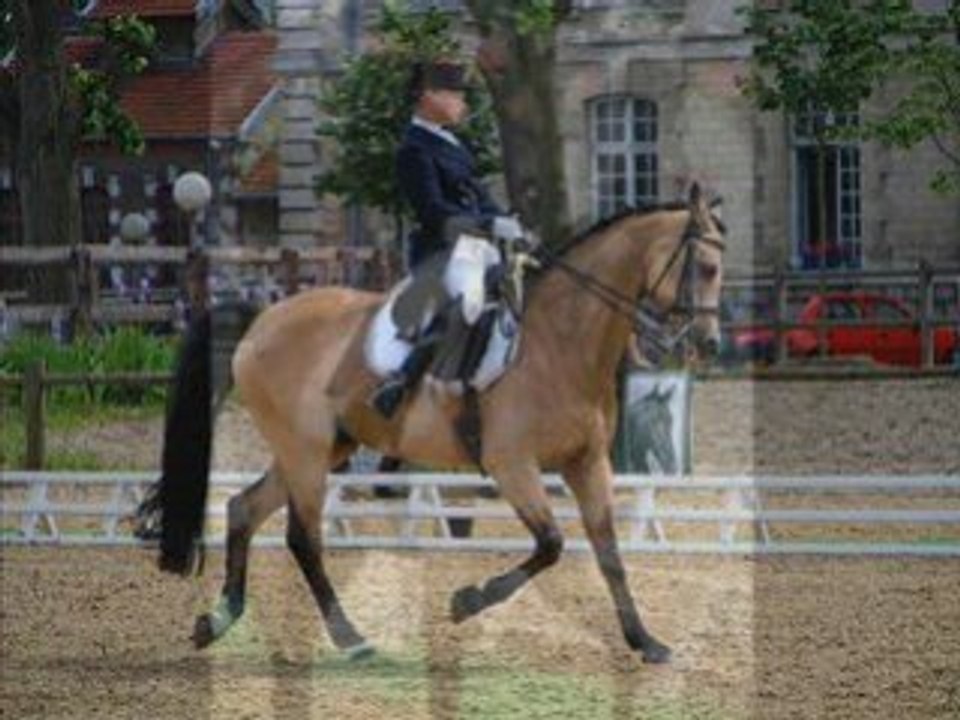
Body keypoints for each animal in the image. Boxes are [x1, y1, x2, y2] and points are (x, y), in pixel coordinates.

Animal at [141, 184, 726, 665]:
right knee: (303, 539)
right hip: (305, 451)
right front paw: (467, 601)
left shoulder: (587, 462)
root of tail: (261, 319)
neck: (561, 342)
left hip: (321, 448)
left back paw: (218, 621)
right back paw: (351, 639)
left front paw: (646, 642)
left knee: (243, 509)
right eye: (706, 267)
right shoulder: (511, 464)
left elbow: (609, 555)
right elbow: (551, 544)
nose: (710, 344)